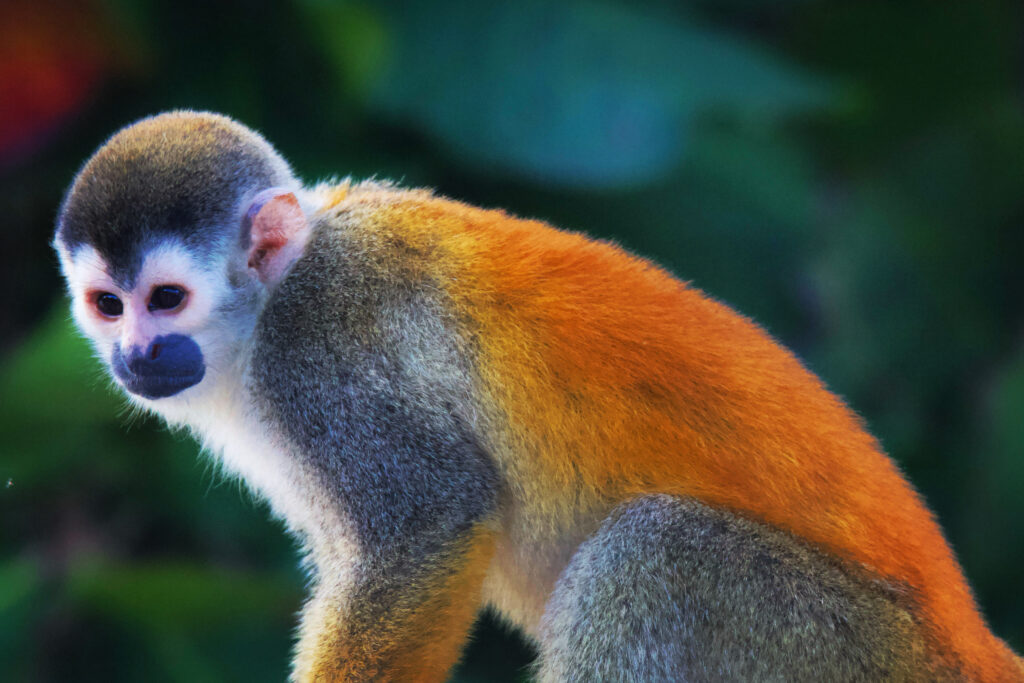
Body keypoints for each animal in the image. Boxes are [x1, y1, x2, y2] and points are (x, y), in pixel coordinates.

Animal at [53, 111, 1023, 682]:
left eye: (166, 298)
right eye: (108, 305)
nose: (136, 354)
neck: (271, 302)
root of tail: (969, 643)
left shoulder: (317, 358)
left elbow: (426, 525)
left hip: (840, 650)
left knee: (651, 551)